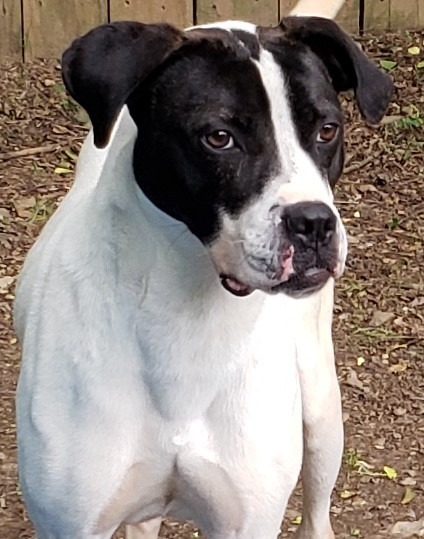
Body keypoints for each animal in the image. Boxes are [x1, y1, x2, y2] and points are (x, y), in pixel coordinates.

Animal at [14, 0, 390, 536]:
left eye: (327, 130)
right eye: (219, 137)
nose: (314, 223)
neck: (186, 316)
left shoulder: (247, 519)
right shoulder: (71, 522)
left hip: (321, 410)